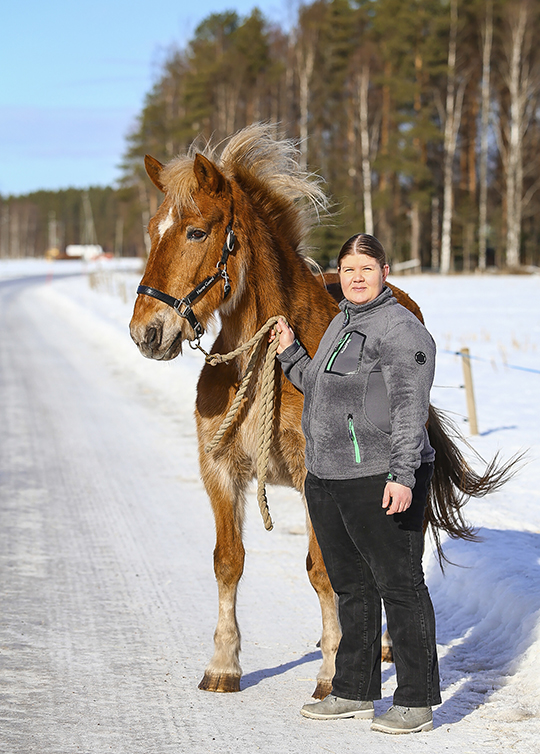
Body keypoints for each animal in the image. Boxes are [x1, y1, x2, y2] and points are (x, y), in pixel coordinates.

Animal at [130, 125, 516, 700]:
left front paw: (334, 672)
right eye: (155, 232)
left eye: (197, 232)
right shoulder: (219, 469)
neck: (263, 357)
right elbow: (228, 562)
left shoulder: (316, 477)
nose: (146, 333)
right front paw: (223, 665)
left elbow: (323, 572)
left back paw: (380, 645)